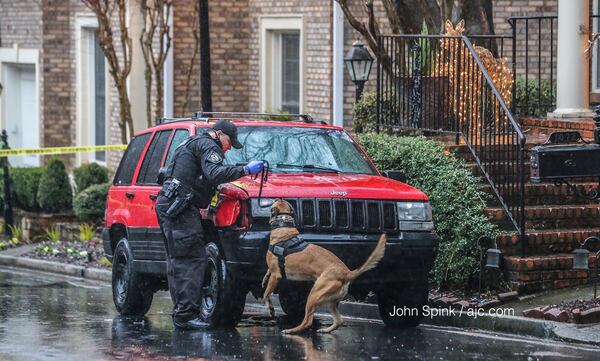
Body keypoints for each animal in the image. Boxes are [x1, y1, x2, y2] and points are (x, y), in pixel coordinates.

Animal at [262, 198, 384, 334]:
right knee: (339, 321)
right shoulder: (273, 270)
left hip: (314, 295)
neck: (283, 226)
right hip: (330, 302)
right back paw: (326, 330)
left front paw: (271, 309)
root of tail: (347, 273)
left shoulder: (276, 275)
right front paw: (264, 278)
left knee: (308, 321)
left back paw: (291, 330)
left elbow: (265, 294)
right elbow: (267, 273)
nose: (278, 197)